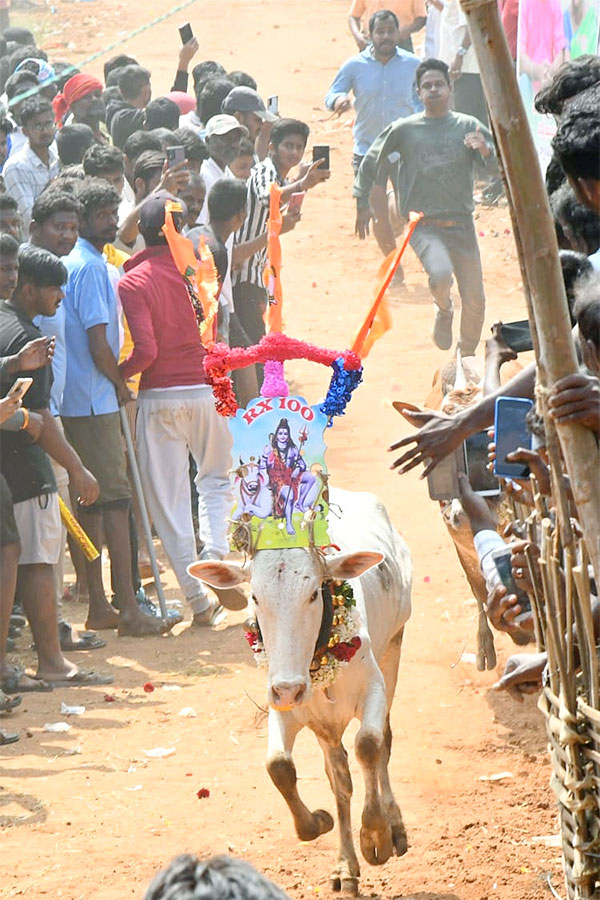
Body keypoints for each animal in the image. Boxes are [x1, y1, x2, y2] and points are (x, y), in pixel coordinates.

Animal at [190, 486, 410, 892]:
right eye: (255, 597)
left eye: (312, 593)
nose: (290, 688)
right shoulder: (284, 705)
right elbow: (279, 765)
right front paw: (319, 822)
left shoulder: (373, 688)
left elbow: (370, 745)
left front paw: (375, 836)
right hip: (323, 725)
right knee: (339, 778)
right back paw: (345, 865)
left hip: (395, 646)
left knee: (382, 745)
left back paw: (393, 826)